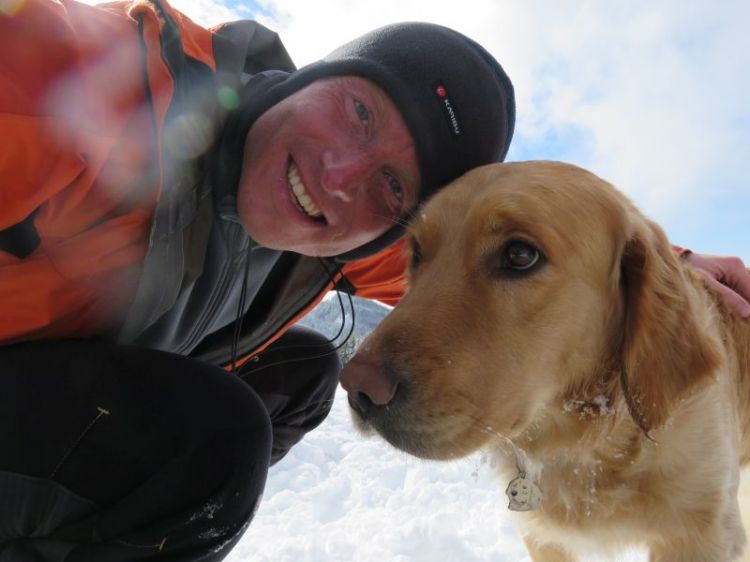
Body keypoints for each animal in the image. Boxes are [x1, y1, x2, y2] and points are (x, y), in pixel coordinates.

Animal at [339, 161, 750, 561]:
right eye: (417, 252)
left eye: (520, 254)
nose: (357, 386)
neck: (591, 444)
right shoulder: (544, 539)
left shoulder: (701, 533)